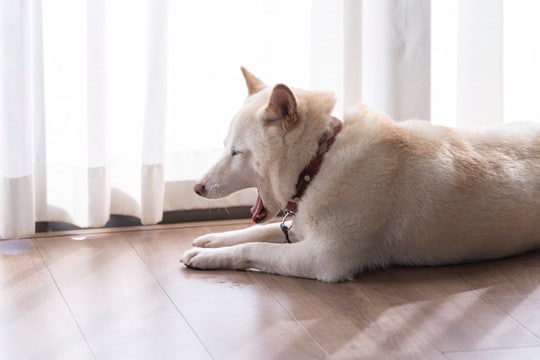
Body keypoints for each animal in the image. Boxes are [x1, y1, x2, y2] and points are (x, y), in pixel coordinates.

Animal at [180, 67, 540, 282]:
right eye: (225, 147)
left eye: (236, 153)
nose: (196, 187)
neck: (320, 160)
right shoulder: (302, 228)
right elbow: (258, 232)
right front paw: (213, 241)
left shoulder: (322, 258)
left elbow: (255, 248)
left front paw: (207, 256)